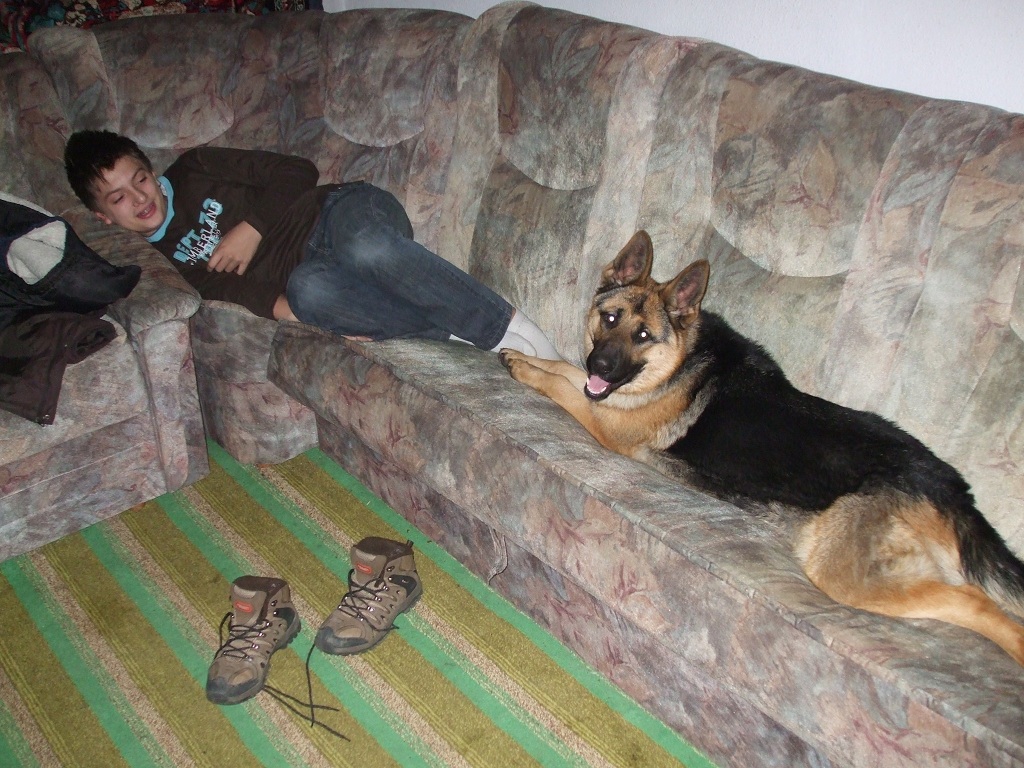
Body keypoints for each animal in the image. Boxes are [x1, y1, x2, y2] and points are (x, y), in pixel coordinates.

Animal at [501, 230, 1024, 666]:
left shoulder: (607, 425)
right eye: (609, 318)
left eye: (643, 335)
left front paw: (527, 369)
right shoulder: (604, 395)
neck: (680, 360)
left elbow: (565, 387)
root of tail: (946, 482)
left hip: (842, 571)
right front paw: (524, 355)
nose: (602, 366)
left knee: (973, 600)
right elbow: (564, 369)